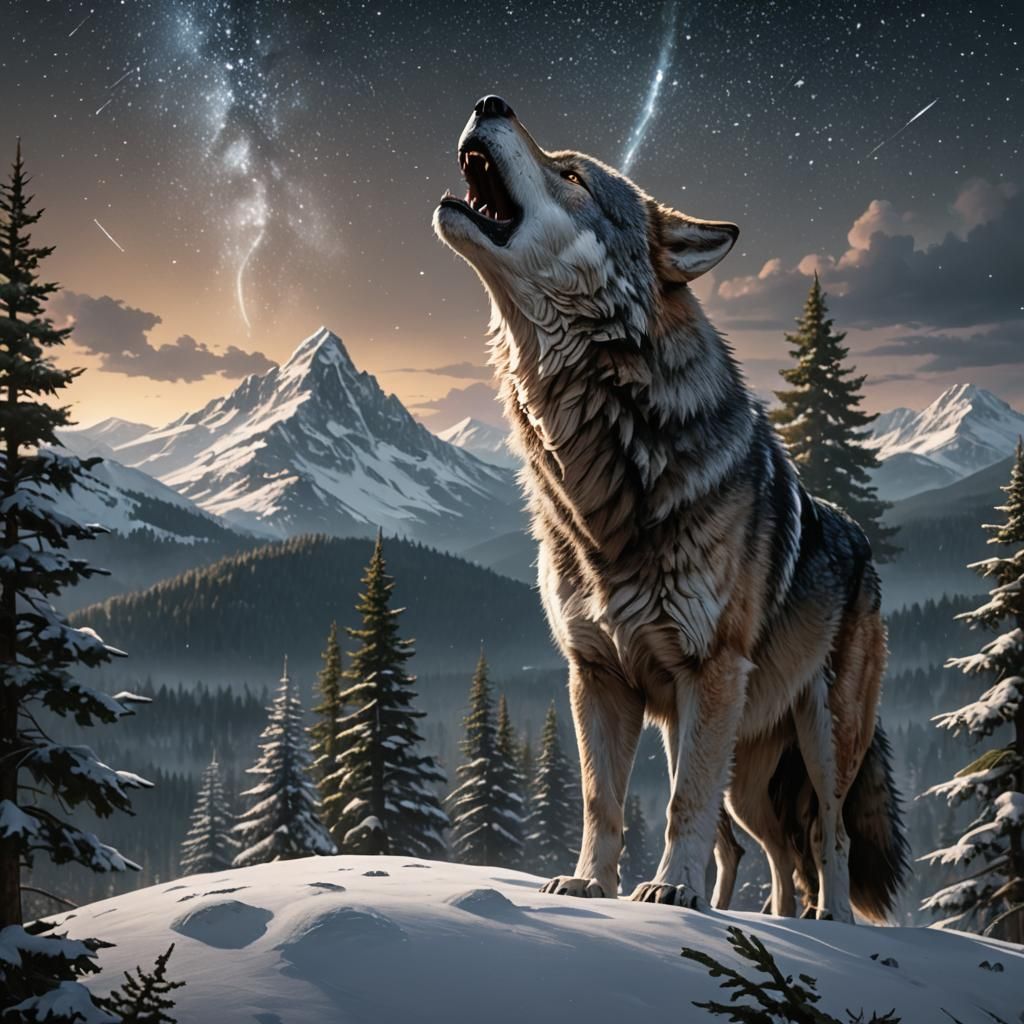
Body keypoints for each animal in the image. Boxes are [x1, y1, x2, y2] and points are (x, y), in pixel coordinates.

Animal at [433, 95, 907, 922]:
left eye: (572, 175)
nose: (490, 101)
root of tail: (861, 546)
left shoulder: (709, 671)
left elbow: (683, 802)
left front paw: (670, 891)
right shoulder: (596, 674)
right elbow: (602, 801)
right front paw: (590, 885)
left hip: (817, 737)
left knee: (831, 837)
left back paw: (830, 922)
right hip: (737, 763)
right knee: (766, 850)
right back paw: (770, 916)